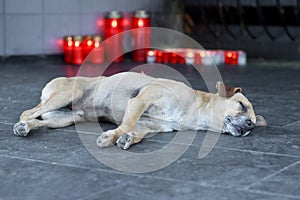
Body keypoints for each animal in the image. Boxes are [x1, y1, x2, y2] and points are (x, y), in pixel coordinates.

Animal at [13, 72, 268, 149]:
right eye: (242, 105)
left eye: (253, 121)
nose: (250, 125)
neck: (194, 111)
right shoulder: (142, 99)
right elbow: (126, 123)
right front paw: (110, 136)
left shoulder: (150, 125)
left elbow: (136, 132)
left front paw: (127, 139)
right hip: (65, 96)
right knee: (27, 113)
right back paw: (22, 125)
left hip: (66, 118)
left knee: (39, 120)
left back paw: (27, 127)